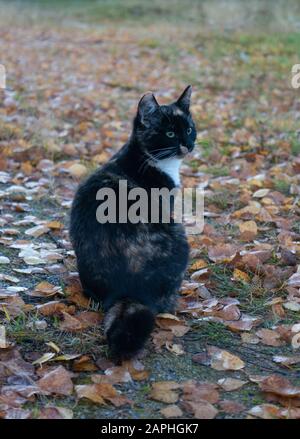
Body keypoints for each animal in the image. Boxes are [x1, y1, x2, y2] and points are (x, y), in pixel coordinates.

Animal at [69, 87, 197, 364]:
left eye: (190, 128)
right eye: (170, 134)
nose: (188, 145)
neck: (145, 158)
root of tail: (128, 292)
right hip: (179, 236)